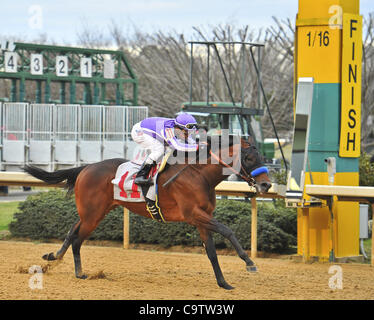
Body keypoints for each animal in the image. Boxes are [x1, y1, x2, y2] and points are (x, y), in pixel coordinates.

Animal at [24, 135, 272, 290]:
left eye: (263, 157)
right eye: (249, 158)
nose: (266, 185)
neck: (199, 174)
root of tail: (86, 167)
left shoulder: (202, 219)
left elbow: (211, 252)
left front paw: (224, 283)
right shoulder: (193, 214)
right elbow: (228, 231)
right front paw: (249, 261)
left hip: (95, 212)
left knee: (72, 231)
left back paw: (54, 257)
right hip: (93, 214)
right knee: (77, 238)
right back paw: (78, 272)